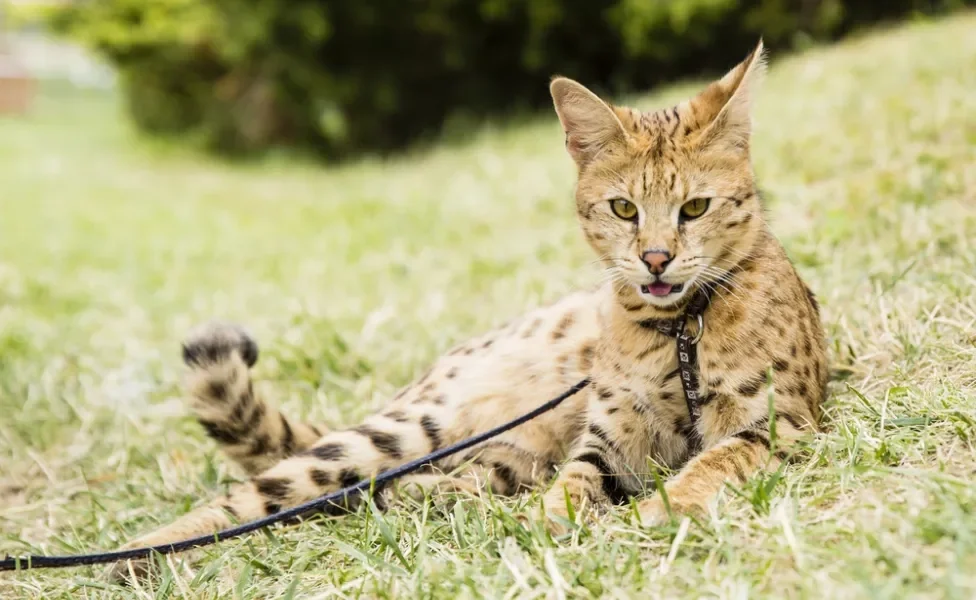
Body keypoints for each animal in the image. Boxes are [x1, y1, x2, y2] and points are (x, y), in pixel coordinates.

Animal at [110, 39, 828, 580]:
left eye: (695, 208)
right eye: (624, 208)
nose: (655, 259)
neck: (678, 327)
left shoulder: (778, 424)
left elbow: (709, 462)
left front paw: (658, 511)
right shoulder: (608, 442)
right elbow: (575, 484)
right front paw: (554, 525)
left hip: (500, 450)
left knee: (418, 484)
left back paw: (425, 496)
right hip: (408, 428)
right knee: (257, 497)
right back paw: (135, 555)